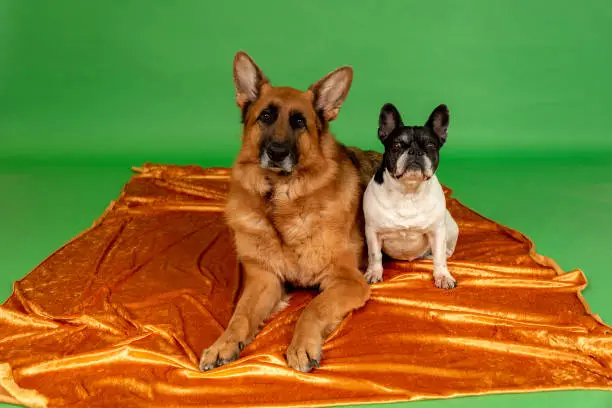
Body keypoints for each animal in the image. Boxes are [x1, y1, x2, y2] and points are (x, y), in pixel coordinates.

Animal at [198, 51, 380, 372]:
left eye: (299, 122)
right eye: (266, 116)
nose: (277, 152)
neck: (280, 203)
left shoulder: (347, 281)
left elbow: (313, 308)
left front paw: (302, 345)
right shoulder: (265, 279)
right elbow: (240, 316)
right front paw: (223, 344)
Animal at [360, 103, 456, 288]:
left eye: (430, 146)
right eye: (397, 145)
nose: (415, 152)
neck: (408, 192)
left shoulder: (437, 231)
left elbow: (440, 257)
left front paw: (442, 276)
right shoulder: (373, 231)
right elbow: (375, 255)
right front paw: (374, 273)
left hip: (451, 227)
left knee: (446, 250)